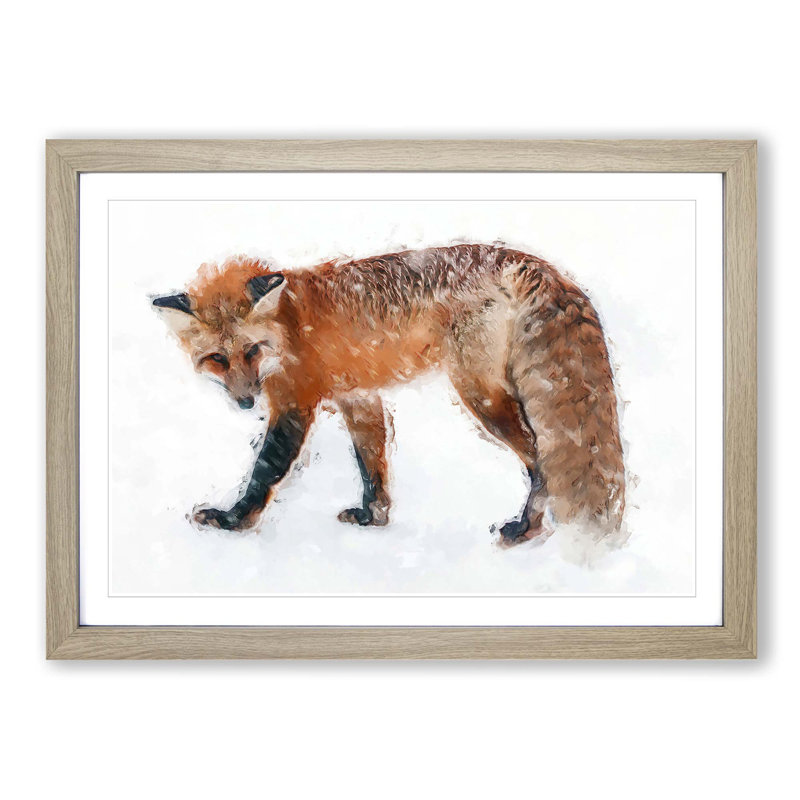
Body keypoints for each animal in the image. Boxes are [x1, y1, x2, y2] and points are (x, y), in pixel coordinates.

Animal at [152, 244, 625, 545]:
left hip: (481, 397)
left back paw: (527, 529)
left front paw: (233, 521)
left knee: (540, 457)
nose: (246, 402)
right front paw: (373, 517)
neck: (289, 326)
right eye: (217, 358)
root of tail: (524, 260)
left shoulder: (295, 403)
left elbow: (265, 470)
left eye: (251, 351)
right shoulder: (359, 398)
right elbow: (372, 466)